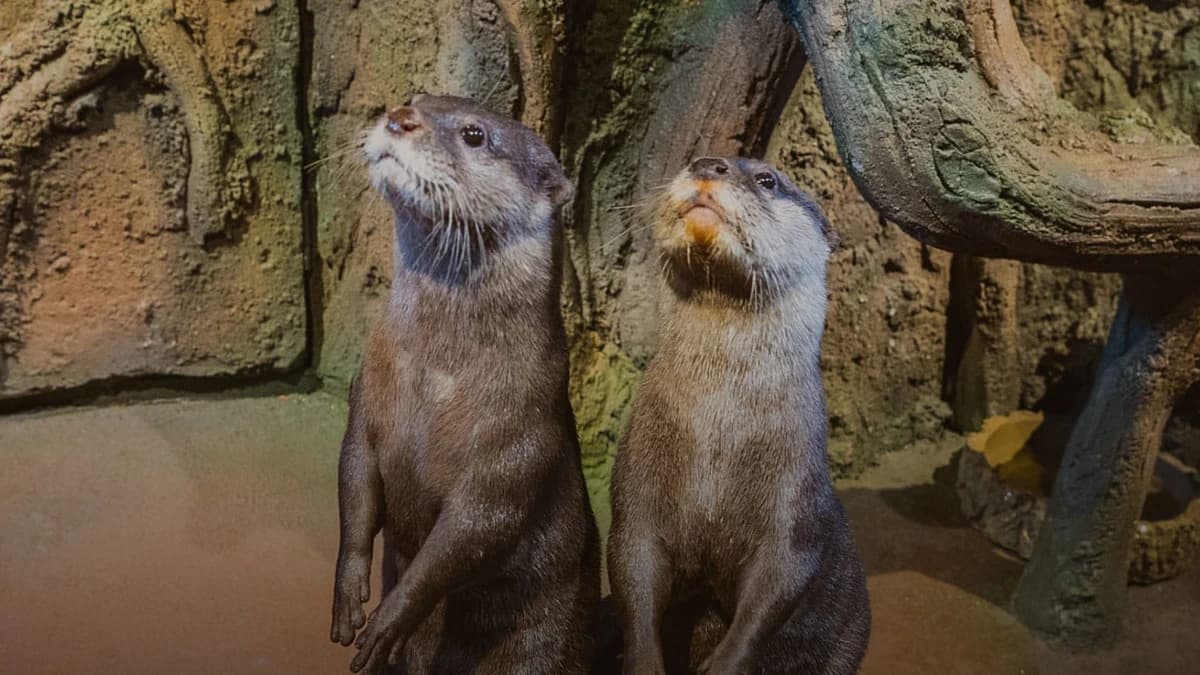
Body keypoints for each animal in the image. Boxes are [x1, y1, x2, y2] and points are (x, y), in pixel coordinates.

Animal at [329, 94, 600, 675]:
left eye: (475, 134)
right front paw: (350, 593)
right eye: (415, 99)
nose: (400, 119)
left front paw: (390, 619)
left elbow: (471, 532)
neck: (437, 375)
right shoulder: (365, 401)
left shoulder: (519, 431)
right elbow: (355, 480)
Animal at [607, 157, 870, 675]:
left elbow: (776, 588)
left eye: (768, 180)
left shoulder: (796, 502)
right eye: (690, 162)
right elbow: (633, 571)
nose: (708, 164)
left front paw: (724, 663)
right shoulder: (637, 487)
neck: (719, 433)